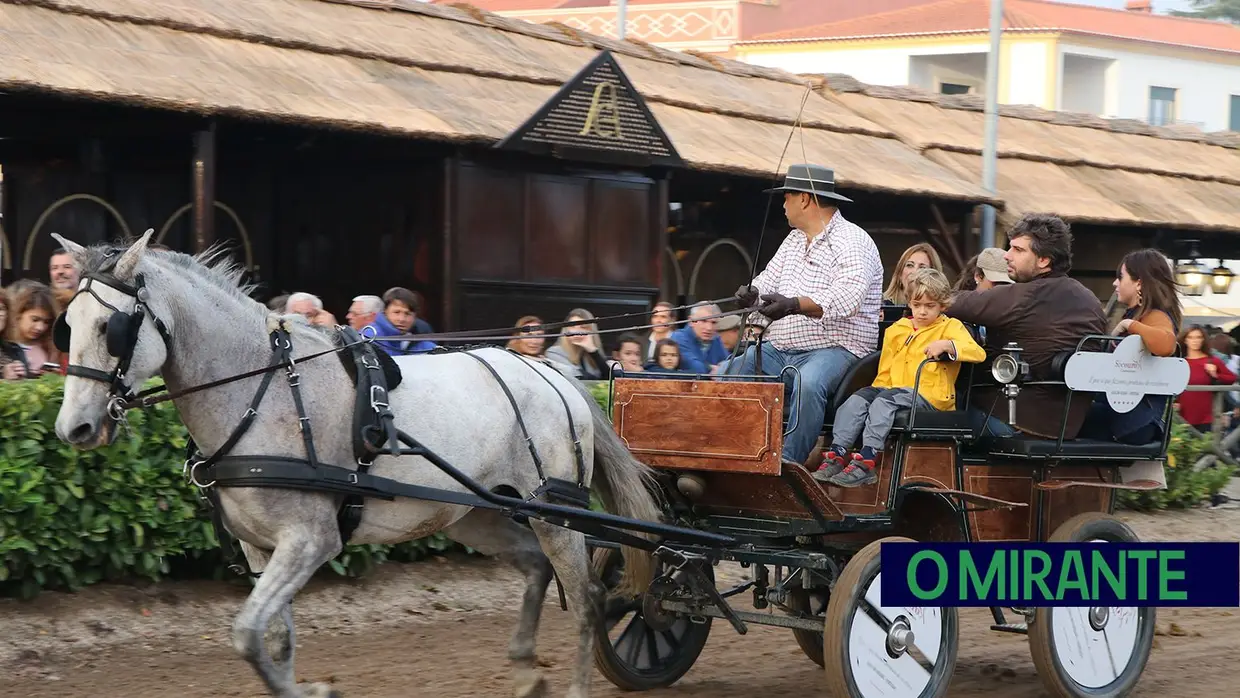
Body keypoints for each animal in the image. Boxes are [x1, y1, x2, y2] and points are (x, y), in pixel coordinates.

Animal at [50, 231, 659, 698]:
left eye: (111, 329)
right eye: (67, 325)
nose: (73, 428)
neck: (263, 390)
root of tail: (554, 374)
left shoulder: (310, 539)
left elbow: (246, 632)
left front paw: (314, 690)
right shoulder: (261, 549)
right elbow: (273, 639)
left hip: (555, 512)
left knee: (588, 598)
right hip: (476, 514)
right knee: (535, 568)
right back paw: (526, 671)